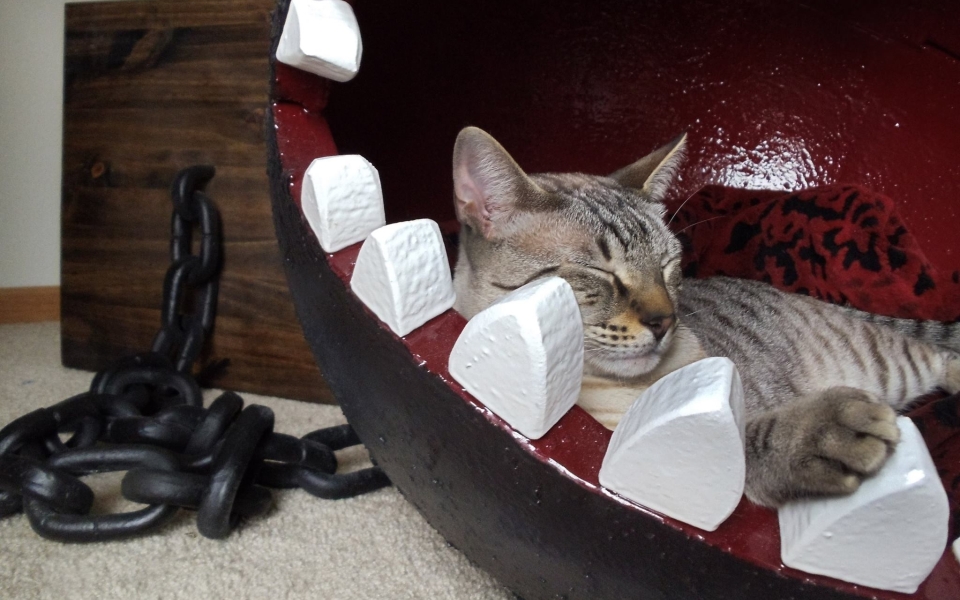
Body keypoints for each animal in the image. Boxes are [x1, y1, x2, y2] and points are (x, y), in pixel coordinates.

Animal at [450, 125, 960, 506]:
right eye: (600, 272)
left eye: (668, 265)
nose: (664, 322)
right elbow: (737, 446)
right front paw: (822, 430)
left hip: (890, 359)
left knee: (939, 356)